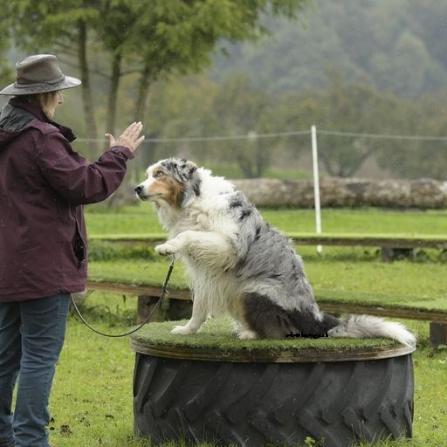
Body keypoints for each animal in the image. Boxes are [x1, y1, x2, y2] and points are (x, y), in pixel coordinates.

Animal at [135, 159, 418, 348]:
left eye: (159, 174)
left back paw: (249, 333)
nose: (137, 188)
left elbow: (189, 235)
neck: (192, 199)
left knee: (278, 331)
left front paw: (168, 246)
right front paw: (188, 330)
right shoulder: (206, 270)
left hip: (252, 291)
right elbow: (199, 307)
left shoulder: (229, 246)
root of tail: (316, 318)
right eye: (147, 174)